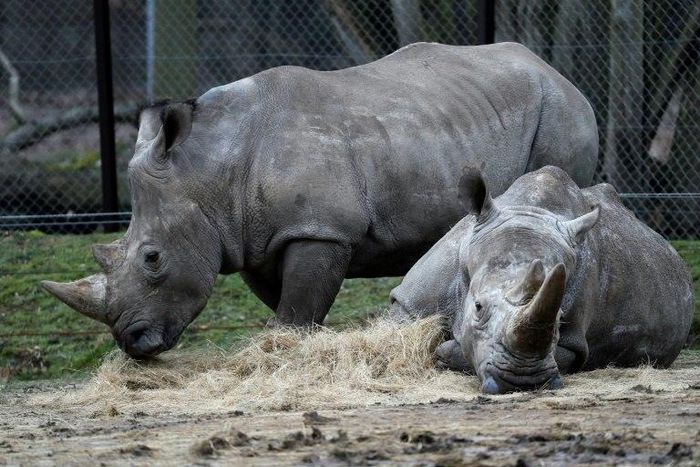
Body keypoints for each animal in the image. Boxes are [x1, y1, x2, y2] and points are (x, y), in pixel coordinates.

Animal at [42, 42, 598, 358]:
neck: (211, 170)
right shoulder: (253, 237)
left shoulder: (320, 230)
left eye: (153, 258)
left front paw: (287, 354)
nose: (132, 342)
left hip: (560, 111)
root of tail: (557, 71)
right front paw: (297, 346)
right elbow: (291, 308)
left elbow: (296, 308)